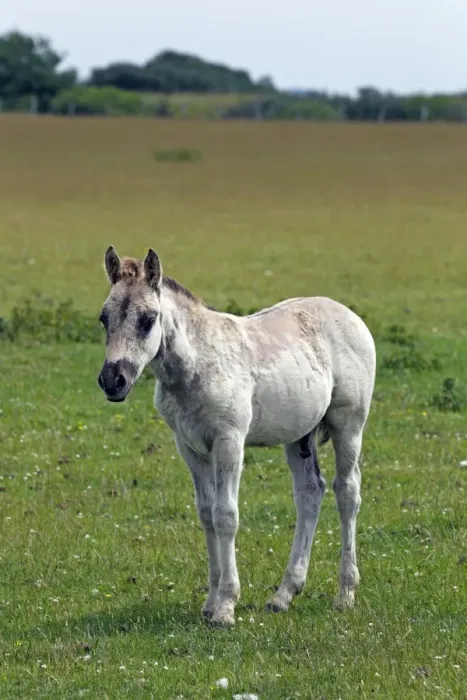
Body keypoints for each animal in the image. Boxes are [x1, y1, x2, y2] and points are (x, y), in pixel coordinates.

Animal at [97, 246, 376, 627]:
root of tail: (350, 315)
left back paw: (345, 593)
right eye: (103, 318)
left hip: (348, 425)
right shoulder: (189, 447)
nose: (113, 381)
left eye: (147, 319)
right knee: (310, 493)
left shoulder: (229, 442)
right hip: (298, 435)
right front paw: (210, 601)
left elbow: (226, 515)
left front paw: (226, 607)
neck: (196, 364)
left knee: (347, 492)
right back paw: (284, 595)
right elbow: (206, 514)